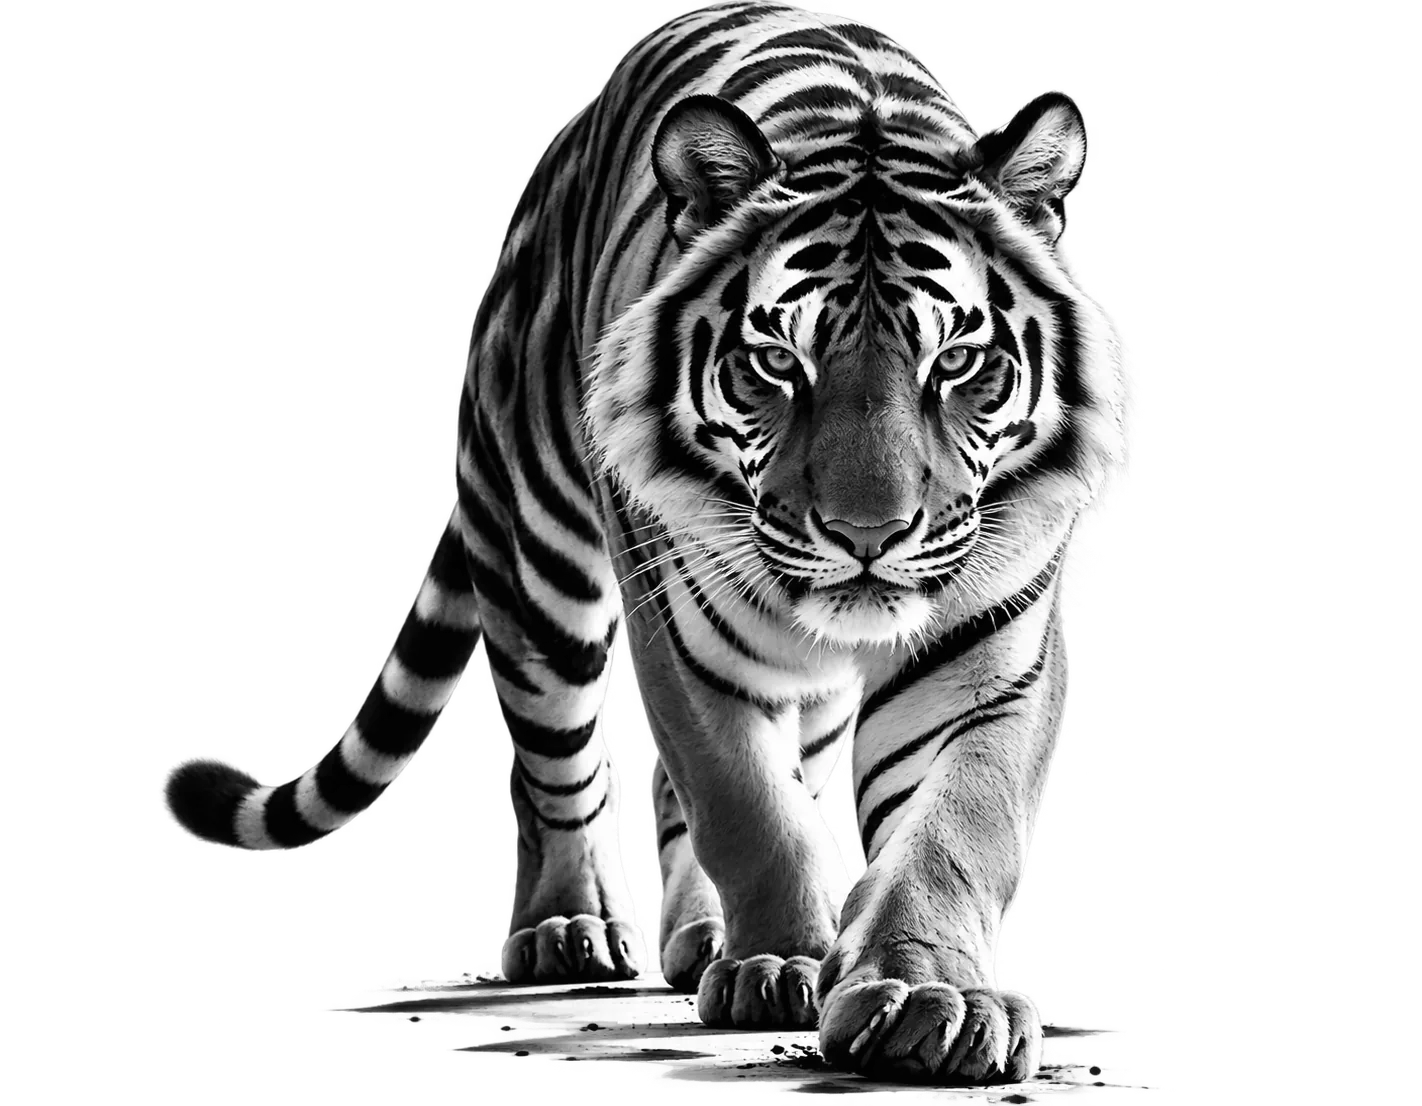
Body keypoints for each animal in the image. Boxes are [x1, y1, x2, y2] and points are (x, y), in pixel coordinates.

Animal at [160, 0, 1137, 1085]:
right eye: (777, 361)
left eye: (958, 361)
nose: (868, 534)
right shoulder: (681, 626)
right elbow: (745, 805)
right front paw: (788, 957)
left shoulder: (990, 649)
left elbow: (950, 823)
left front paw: (934, 998)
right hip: (539, 556)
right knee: (557, 761)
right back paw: (574, 927)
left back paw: (703, 936)